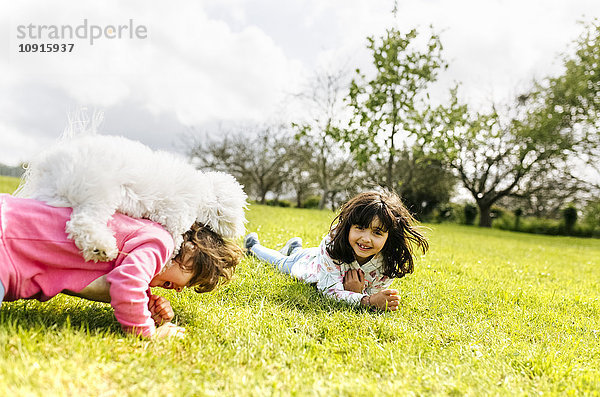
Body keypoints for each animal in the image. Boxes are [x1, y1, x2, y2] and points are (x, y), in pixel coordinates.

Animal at [15, 133, 246, 262]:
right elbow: (176, 234)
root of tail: (48, 166)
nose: (241, 230)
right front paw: (175, 250)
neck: (202, 193)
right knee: (82, 223)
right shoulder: (174, 214)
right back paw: (102, 247)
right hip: (99, 194)